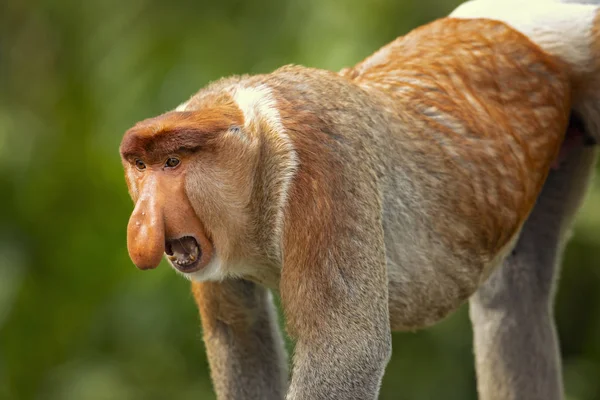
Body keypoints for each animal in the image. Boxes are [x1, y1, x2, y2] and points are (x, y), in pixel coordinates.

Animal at [120, 1, 600, 398]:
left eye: (173, 162)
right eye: (140, 165)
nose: (141, 223)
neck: (261, 140)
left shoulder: (324, 164)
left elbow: (345, 348)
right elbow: (239, 331)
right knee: (516, 290)